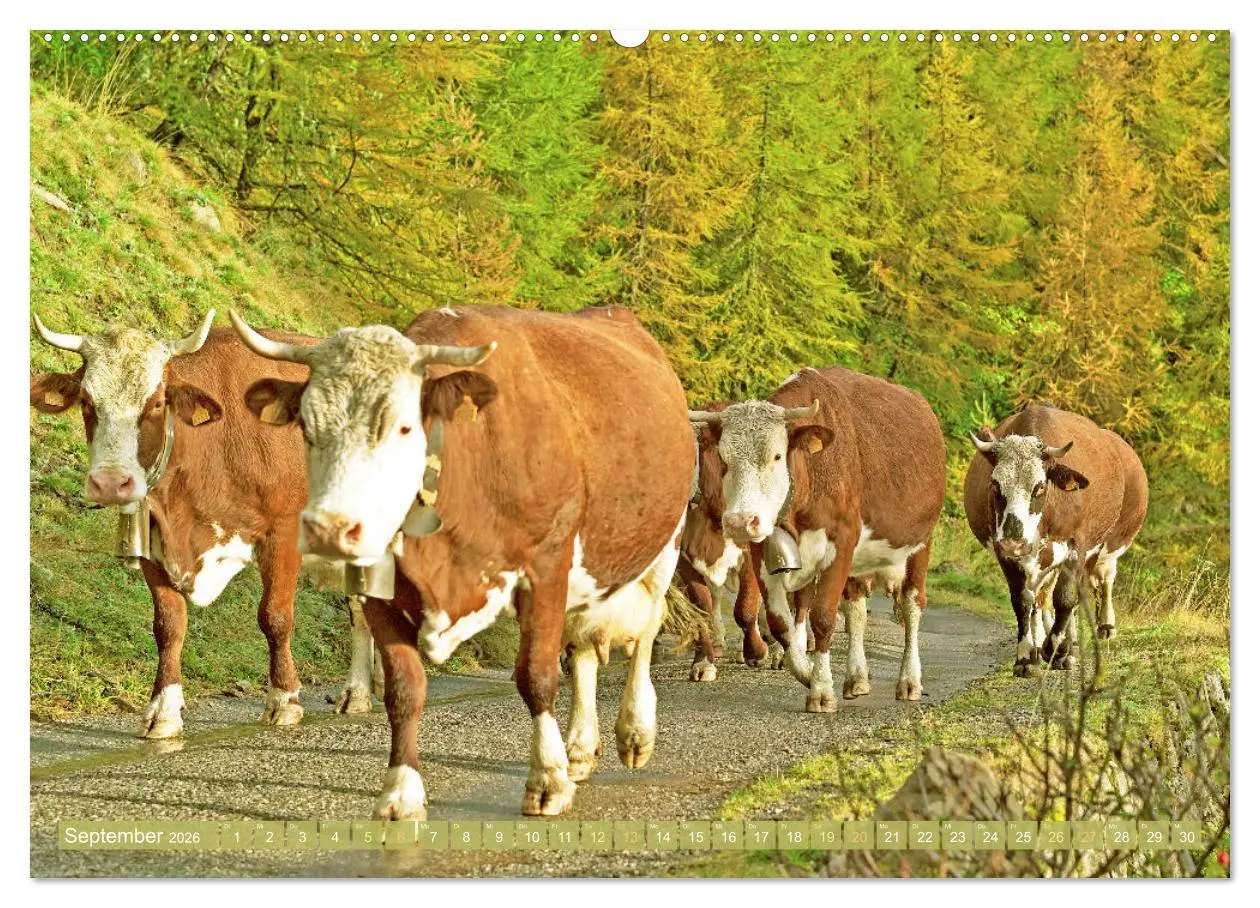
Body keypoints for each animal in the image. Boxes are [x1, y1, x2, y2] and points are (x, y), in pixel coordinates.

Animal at [29, 312, 376, 739]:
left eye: (157, 402)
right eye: (88, 402)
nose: (111, 482)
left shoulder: (283, 531)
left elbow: (275, 617)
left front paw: (284, 700)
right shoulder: (155, 542)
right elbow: (168, 625)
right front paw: (163, 711)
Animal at [230, 304, 695, 819]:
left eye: (404, 427)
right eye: (307, 429)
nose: (331, 527)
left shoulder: (546, 568)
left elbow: (537, 676)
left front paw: (546, 780)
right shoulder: (380, 589)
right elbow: (404, 688)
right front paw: (401, 792)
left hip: (663, 545)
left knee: (646, 632)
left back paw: (633, 732)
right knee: (584, 650)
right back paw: (578, 748)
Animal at [689, 366, 947, 711]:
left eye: (776, 456)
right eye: (725, 460)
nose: (740, 521)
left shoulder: (841, 544)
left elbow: (823, 617)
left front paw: (821, 689)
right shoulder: (762, 554)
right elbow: (780, 622)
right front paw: (805, 671)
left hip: (920, 542)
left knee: (912, 606)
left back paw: (909, 680)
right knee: (856, 611)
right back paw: (857, 678)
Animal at [963, 404, 1148, 675]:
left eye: (1039, 487)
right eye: (995, 485)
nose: (1014, 542)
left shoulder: (1077, 547)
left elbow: (1066, 599)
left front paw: (1057, 650)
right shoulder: (1004, 551)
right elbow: (1023, 601)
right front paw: (1026, 658)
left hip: (1104, 546)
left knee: (1101, 581)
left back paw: (1093, 633)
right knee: (1041, 596)